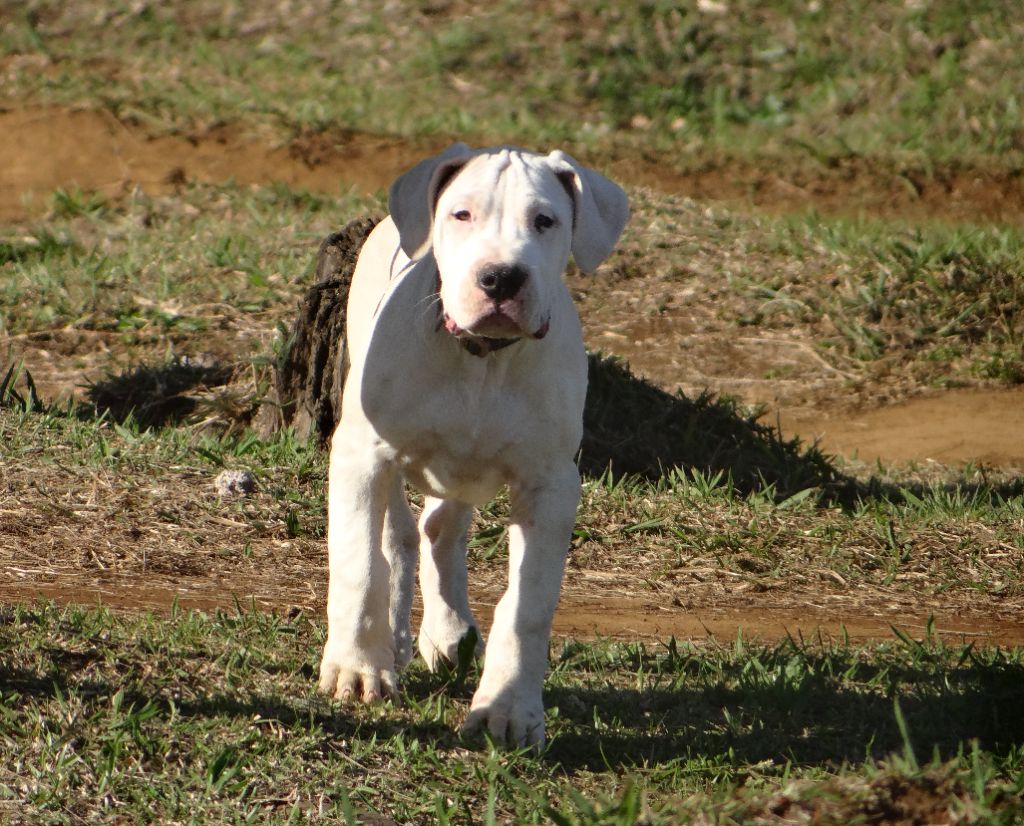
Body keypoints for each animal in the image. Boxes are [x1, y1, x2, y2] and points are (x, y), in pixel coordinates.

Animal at [315, 142, 626, 749]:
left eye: (545, 221)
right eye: (461, 215)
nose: (501, 278)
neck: (483, 360)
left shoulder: (551, 486)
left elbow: (528, 605)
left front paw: (508, 709)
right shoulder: (363, 454)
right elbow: (360, 562)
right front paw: (357, 668)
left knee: (439, 529)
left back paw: (446, 630)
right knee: (397, 537)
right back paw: (394, 641)